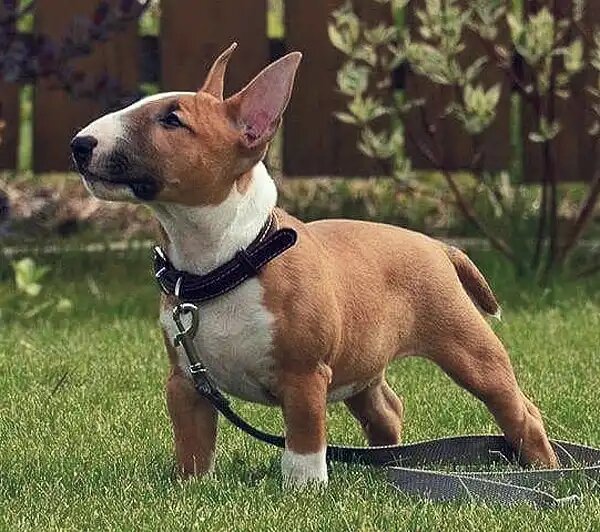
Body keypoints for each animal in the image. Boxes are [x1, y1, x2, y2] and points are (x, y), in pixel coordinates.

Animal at [71, 44, 558, 487]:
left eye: (173, 120)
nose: (79, 145)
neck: (224, 264)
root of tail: (438, 246)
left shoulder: (304, 377)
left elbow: (304, 441)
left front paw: (303, 491)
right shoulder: (186, 382)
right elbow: (193, 443)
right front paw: (191, 488)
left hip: (468, 347)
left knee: (518, 407)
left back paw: (544, 469)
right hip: (361, 360)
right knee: (386, 408)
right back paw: (385, 462)